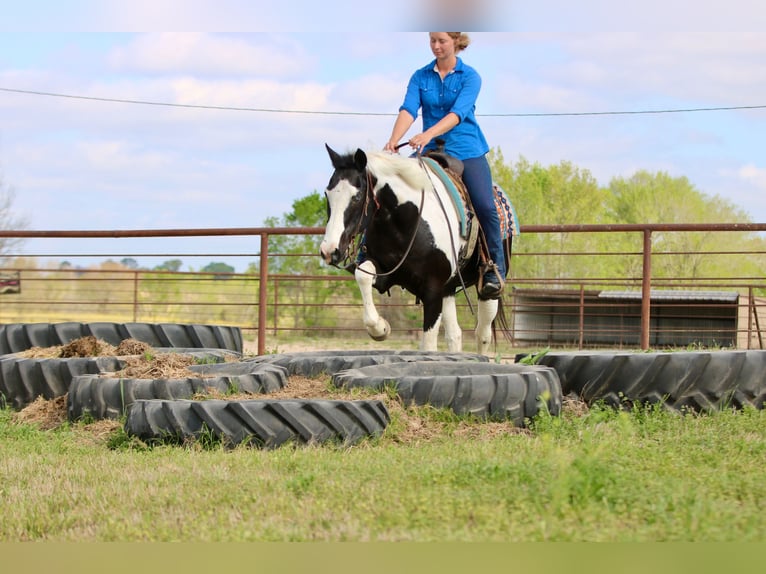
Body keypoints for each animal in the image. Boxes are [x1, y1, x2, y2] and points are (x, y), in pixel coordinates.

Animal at [319, 144, 515, 355]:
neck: (407, 223)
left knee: (482, 333)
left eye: (356, 197)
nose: (329, 250)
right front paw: (380, 328)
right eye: (327, 194)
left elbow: (428, 343)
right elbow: (362, 275)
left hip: (486, 290)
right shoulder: (386, 273)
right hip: (449, 288)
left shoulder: (432, 290)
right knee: (454, 334)